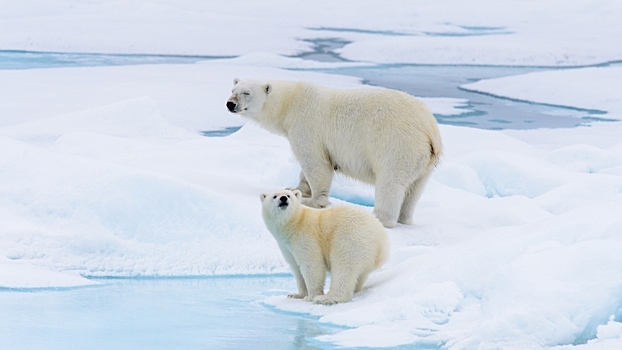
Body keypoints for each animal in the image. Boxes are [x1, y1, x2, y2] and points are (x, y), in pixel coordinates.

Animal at [227, 78, 442, 228]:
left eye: (246, 92)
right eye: (233, 90)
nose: (230, 104)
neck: (291, 103)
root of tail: (429, 129)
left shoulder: (307, 125)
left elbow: (315, 162)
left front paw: (311, 200)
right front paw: (294, 188)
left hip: (397, 145)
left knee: (391, 183)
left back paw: (378, 217)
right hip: (423, 161)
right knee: (414, 189)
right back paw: (404, 218)